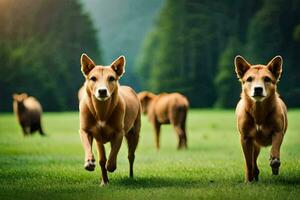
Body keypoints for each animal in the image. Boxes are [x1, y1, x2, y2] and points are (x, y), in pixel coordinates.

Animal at [79, 53, 141, 186]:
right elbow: (89, 146)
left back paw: (131, 176)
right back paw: (104, 179)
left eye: (111, 78)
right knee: (103, 158)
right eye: (93, 78)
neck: (101, 112)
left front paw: (111, 166)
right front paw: (89, 162)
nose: (102, 91)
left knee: (131, 155)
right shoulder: (87, 129)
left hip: (135, 131)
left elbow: (114, 152)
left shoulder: (118, 132)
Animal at [234, 55, 288, 183]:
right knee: (253, 160)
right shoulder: (245, 138)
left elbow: (275, 148)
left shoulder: (278, 132)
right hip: (255, 144)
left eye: (267, 79)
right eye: (249, 79)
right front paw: (248, 180)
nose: (258, 89)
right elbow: (248, 162)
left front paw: (274, 163)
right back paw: (254, 175)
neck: (258, 112)